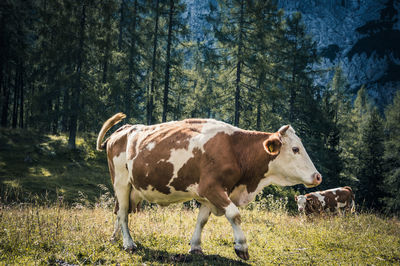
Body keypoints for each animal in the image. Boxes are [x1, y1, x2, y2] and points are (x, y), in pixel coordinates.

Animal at [96, 112, 322, 260]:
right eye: (295, 149)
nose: (318, 176)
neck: (236, 150)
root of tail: (124, 130)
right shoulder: (211, 187)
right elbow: (234, 214)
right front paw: (241, 247)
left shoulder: (211, 193)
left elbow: (202, 220)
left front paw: (195, 247)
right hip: (121, 181)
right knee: (123, 212)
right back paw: (128, 243)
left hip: (132, 189)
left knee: (120, 211)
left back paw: (115, 238)